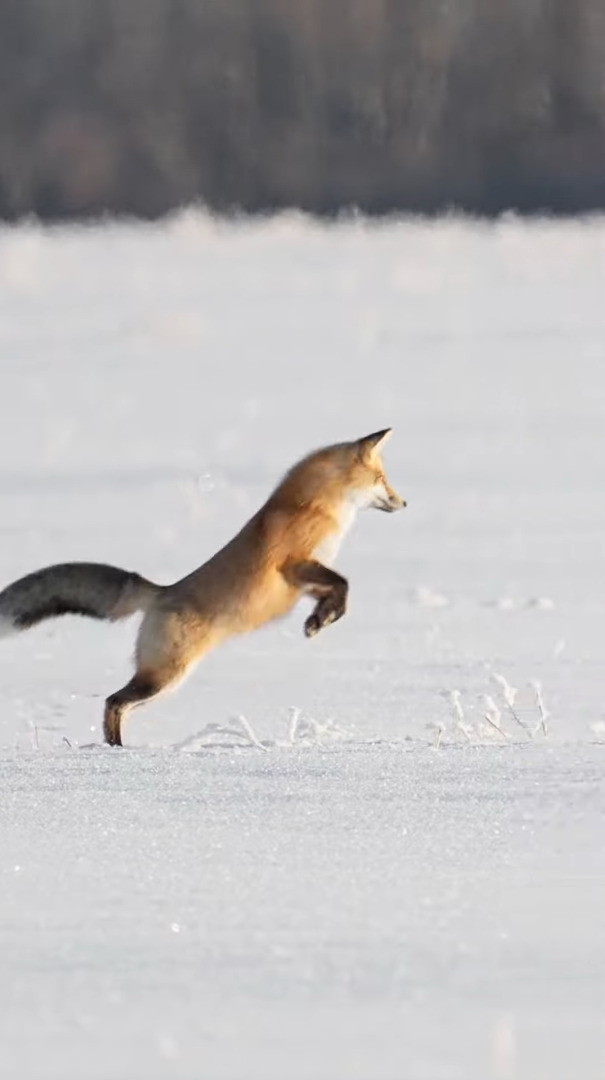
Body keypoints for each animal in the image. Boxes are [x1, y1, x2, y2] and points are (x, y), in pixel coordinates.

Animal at [1, 427, 406, 743]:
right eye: (382, 479)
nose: (403, 502)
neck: (316, 506)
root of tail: (162, 591)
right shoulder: (293, 565)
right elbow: (344, 583)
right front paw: (319, 620)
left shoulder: (304, 582)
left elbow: (335, 593)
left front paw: (319, 620)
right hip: (165, 676)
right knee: (112, 702)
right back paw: (116, 752)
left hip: (163, 681)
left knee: (118, 704)